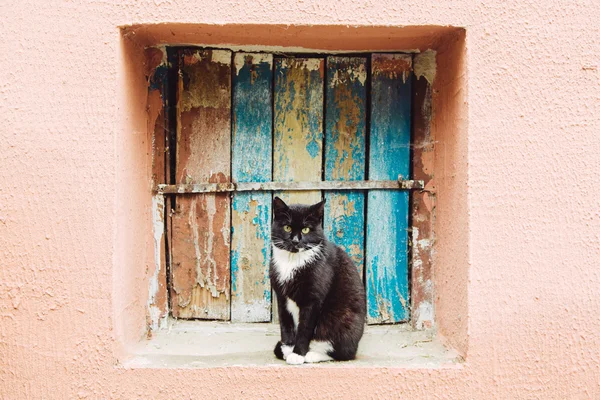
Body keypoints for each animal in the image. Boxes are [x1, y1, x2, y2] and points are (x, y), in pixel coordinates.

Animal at [270, 195, 366, 364]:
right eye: (287, 227)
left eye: (306, 229)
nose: (295, 241)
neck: (292, 261)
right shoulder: (281, 296)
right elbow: (285, 324)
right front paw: (287, 349)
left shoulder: (313, 299)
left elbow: (305, 328)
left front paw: (297, 354)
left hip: (340, 321)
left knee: (342, 353)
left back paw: (312, 355)